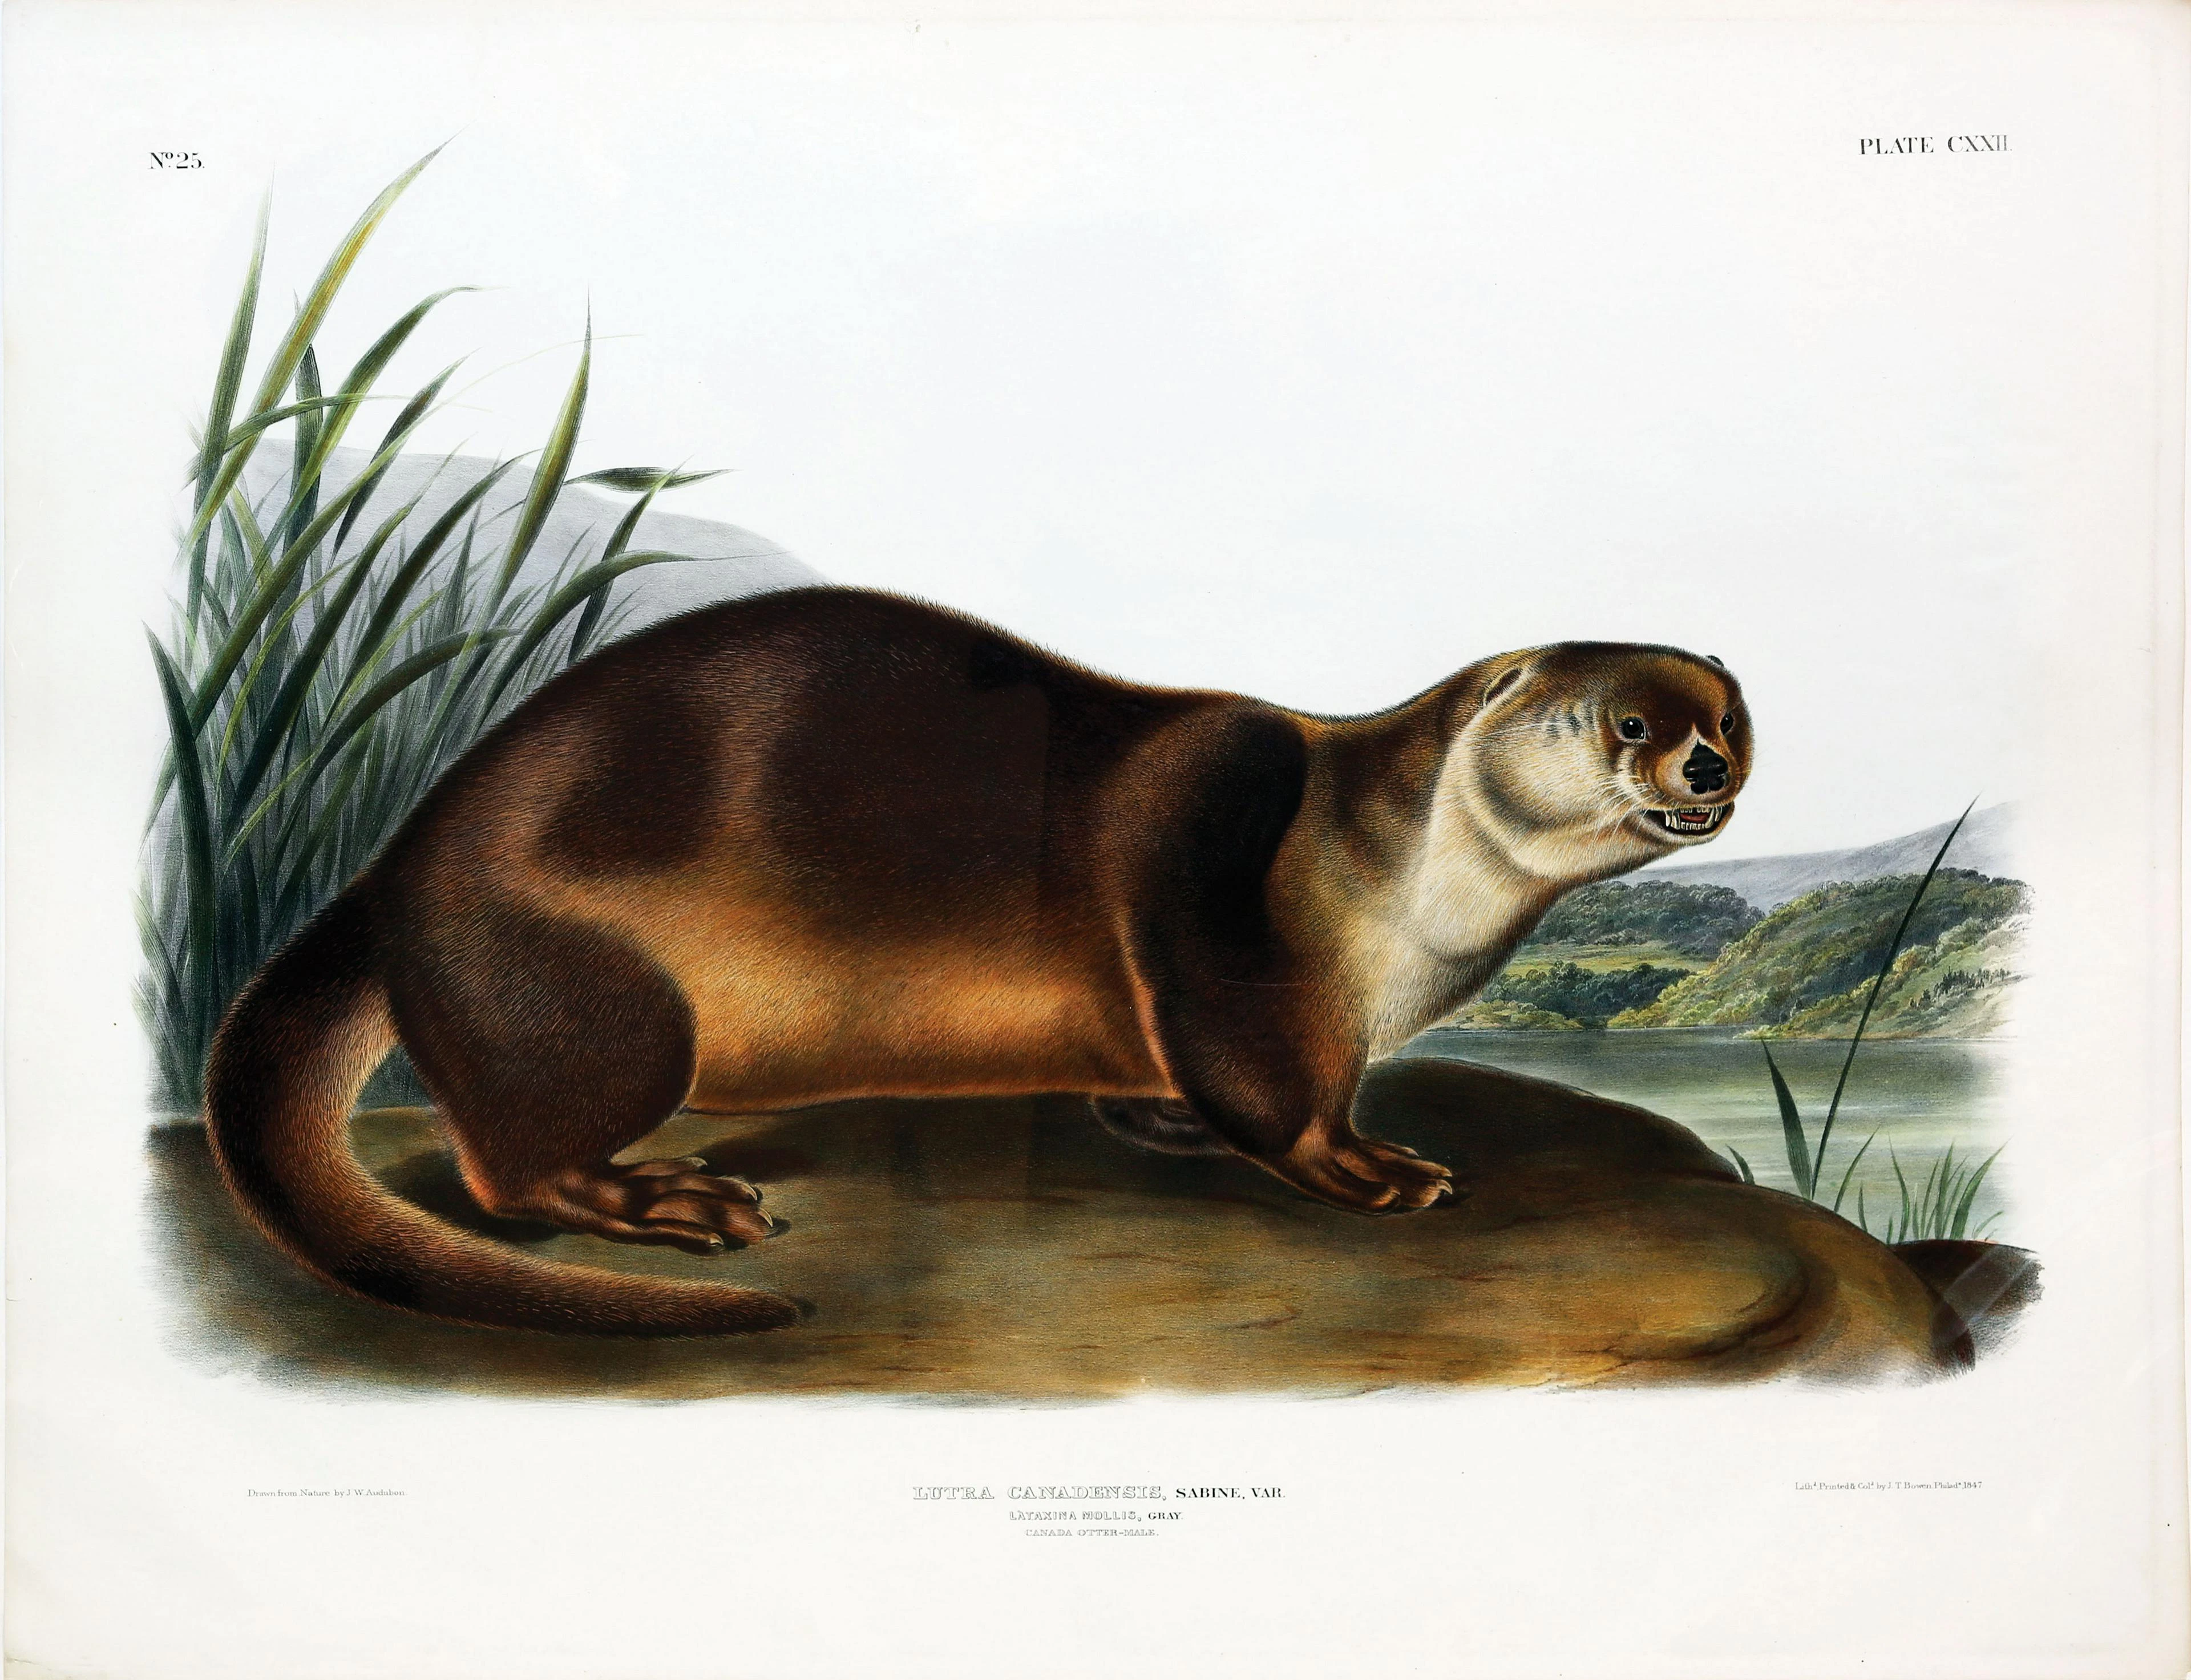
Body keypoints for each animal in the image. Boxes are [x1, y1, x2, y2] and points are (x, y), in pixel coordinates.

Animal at [202, 586, 1750, 1335]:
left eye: (1729, 713)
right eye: (1623, 720)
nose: (1708, 763)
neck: (1392, 889)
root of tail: (395, 869)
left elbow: (1173, 1076)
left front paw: (1163, 1120)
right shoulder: (1224, 896)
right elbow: (1266, 1083)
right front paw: (1371, 1165)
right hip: (591, 995)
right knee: (503, 1165)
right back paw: (667, 1196)